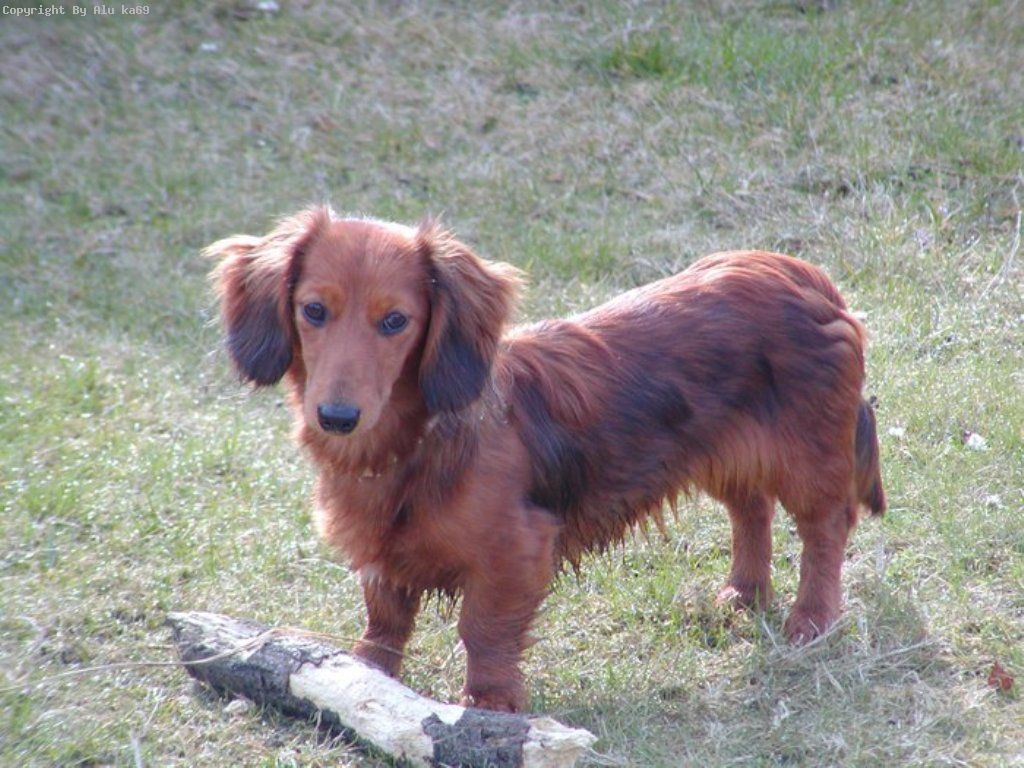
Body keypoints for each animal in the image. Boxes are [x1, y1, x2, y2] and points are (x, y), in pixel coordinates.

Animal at [207, 206, 885, 712]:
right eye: (313, 310)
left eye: (395, 321)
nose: (337, 416)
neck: (416, 444)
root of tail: (811, 278)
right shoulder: (382, 554)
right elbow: (385, 619)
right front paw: (365, 674)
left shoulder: (515, 549)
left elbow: (483, 630)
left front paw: (490, 704)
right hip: (728, 453)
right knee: (752, 511)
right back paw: (742, 594)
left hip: (807, 458)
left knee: (824, 530)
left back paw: (810, 619)